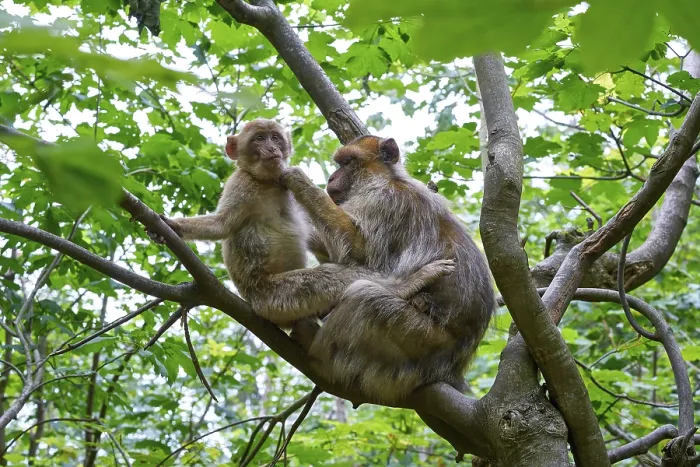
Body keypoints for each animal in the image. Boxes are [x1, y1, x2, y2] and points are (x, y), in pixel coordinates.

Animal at [147, 119, 457, 339]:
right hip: (274, 298)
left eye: (275, 138)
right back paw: (409, 284)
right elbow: (221, 224)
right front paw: (170, 226)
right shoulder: (241, 183)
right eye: (259, 138)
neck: (267, 182)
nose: (272, 149)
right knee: (329, 279)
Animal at [280, 135, 496, 404]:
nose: (331, 178)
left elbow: (359, 253)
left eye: (347, 162)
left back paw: (316, 350)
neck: (385, 179)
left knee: (365, 298)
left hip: (421, 342)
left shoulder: (384, 202)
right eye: (339, 163)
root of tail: (453, 370)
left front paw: (300, 182)